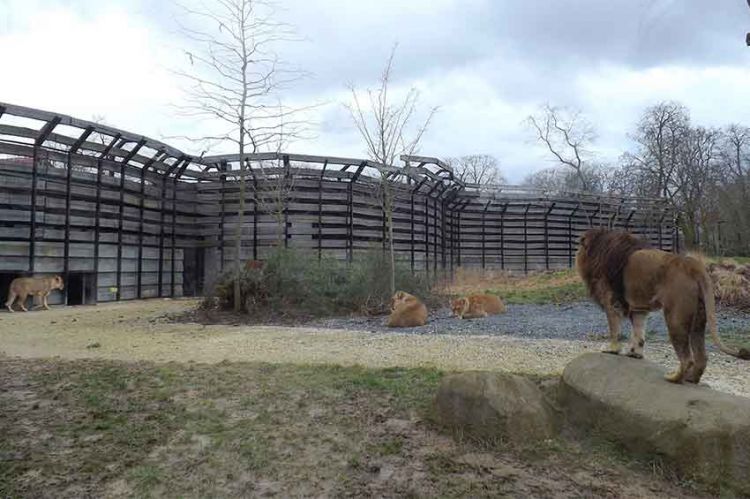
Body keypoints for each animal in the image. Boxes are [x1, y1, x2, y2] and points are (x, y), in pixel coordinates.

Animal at [580, 229, 748, 384]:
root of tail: (693, 265)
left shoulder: (612, 302)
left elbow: (614, 330)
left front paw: (612, 350)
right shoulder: (639, 309)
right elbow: (639, 332)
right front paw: (635, 353)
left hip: (675, 318)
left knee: (687, 359)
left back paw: (673, 378)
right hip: (699, 319)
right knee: (701, 357)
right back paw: (691, 379)